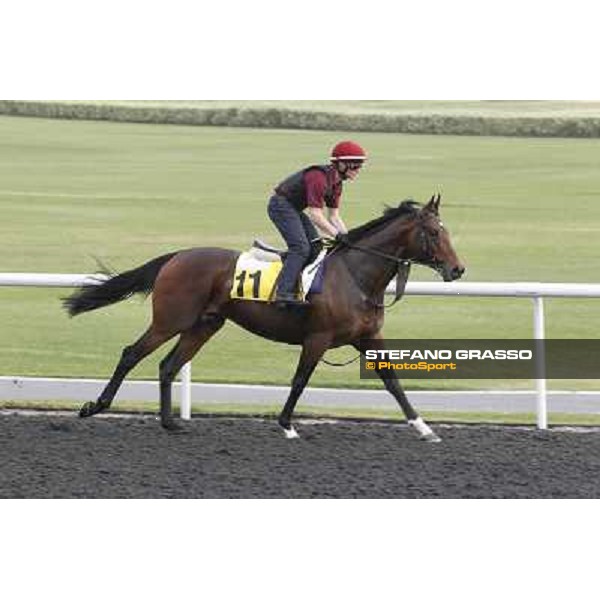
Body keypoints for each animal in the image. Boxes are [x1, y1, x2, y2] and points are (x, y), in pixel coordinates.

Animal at [64, 195, 464, 442]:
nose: (458, 269)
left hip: (205, 324)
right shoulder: (317, 338)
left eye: (446, 231)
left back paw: (170, 423)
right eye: (433, 232)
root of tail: (177, 256)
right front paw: (287, 426)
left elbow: (393, 383)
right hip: (170, 320)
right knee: (131, 353)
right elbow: (300, 380)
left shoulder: (368, 339)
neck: (355, 275)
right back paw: (95, 406)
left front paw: (425, 428)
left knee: (168, 365)